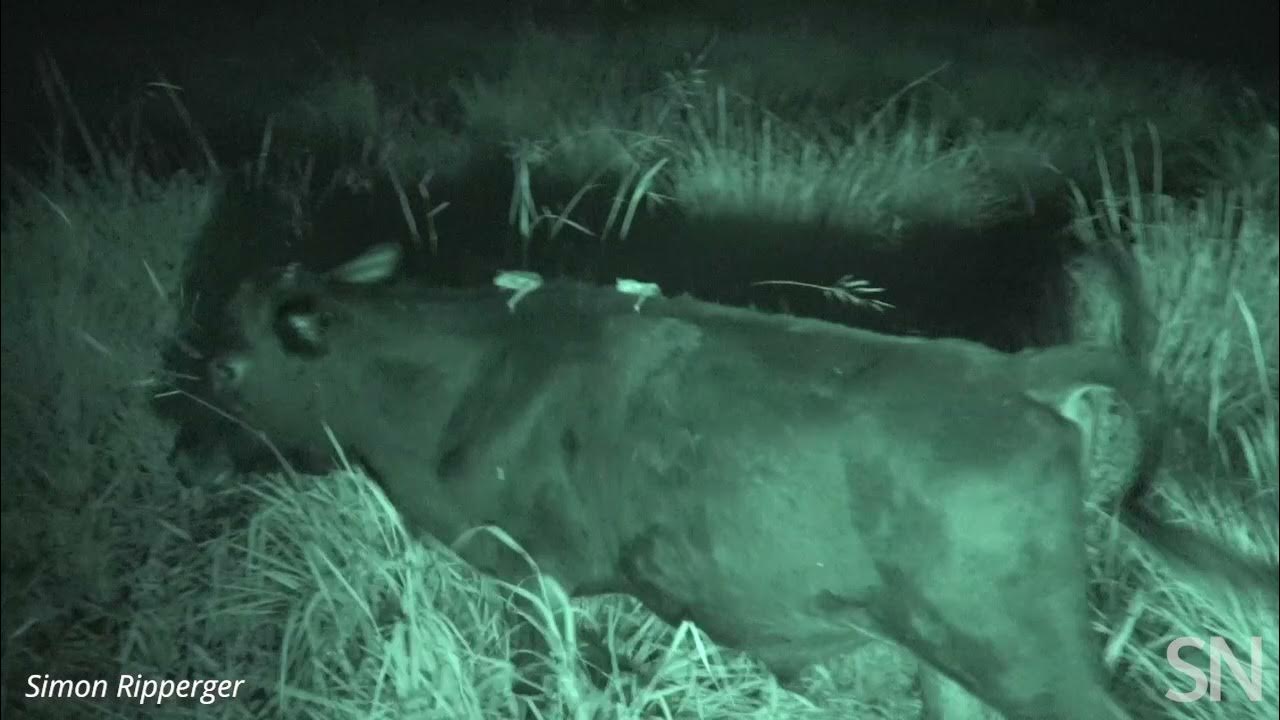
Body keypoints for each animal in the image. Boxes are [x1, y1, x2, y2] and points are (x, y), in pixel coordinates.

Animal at [203, 244, 1272, 720]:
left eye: (229, 363)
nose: (201, 456)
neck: (464, 375)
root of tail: (1010, 372)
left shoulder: (532, 572)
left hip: (1028, 655)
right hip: (955, 657)